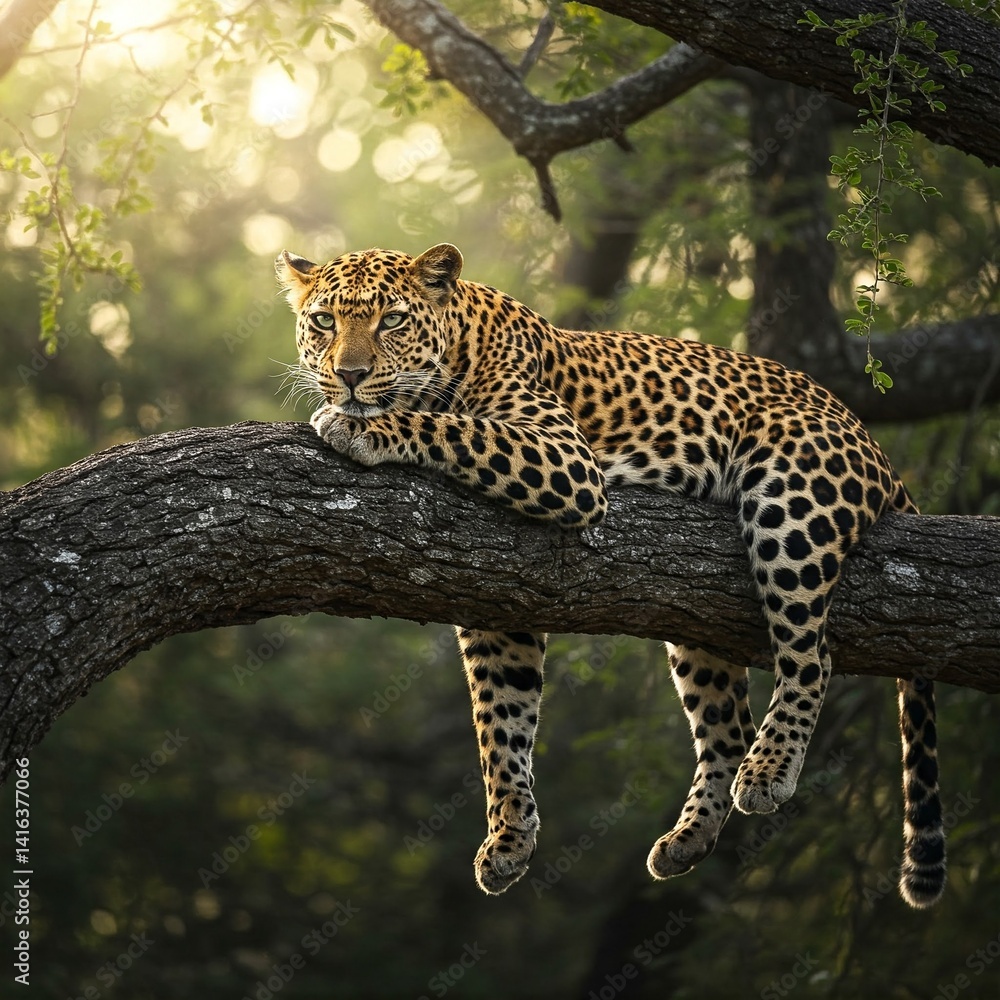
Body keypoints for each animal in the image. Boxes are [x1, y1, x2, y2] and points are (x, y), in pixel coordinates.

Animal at [276, 242, 946, 909]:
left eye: (392, 320)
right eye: (324, 322)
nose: (349, 375)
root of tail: (876, 447)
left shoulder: (567, 460)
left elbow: (459, 427)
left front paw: (357, 425)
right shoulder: (497, 602)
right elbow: (500, 723)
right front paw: (510, 837)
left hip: (794, 501)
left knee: (811, 654)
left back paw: (770, 771)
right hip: (694, 616)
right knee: (727, 729)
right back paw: (686, 840)